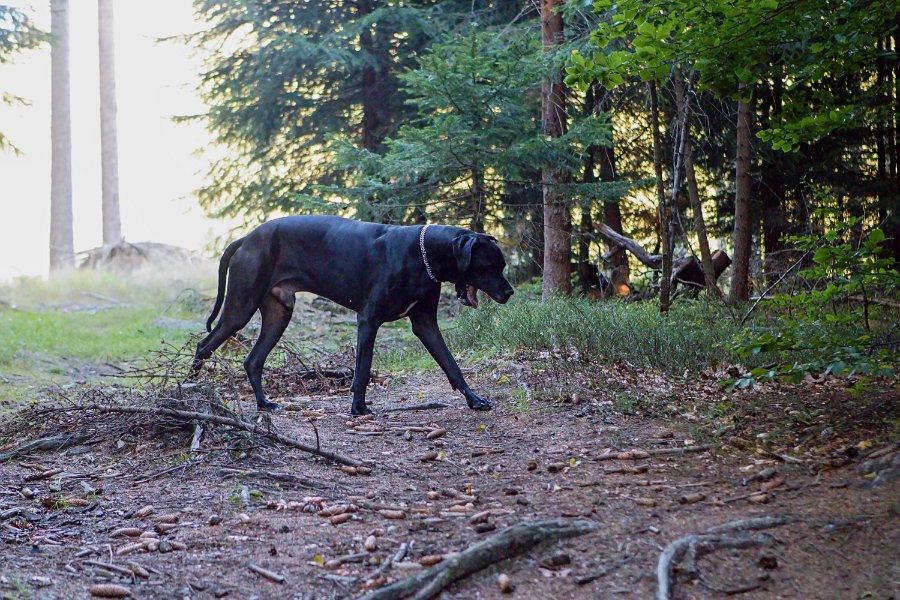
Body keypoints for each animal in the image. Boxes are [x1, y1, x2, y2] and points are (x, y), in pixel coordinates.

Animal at [190, 213, 512, 414]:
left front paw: (474, 399)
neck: (424, 256)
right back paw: (190, 389)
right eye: (490, 266)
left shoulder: (425, 324)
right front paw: (358, 408)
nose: (509, 292)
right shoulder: (368, 320)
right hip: (240, 308)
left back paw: (263, 403)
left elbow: (451, 365)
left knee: (253, 360)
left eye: (502, 265)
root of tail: (246, 238)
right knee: (204, 346)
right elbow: (363, 369)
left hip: (278, 315)